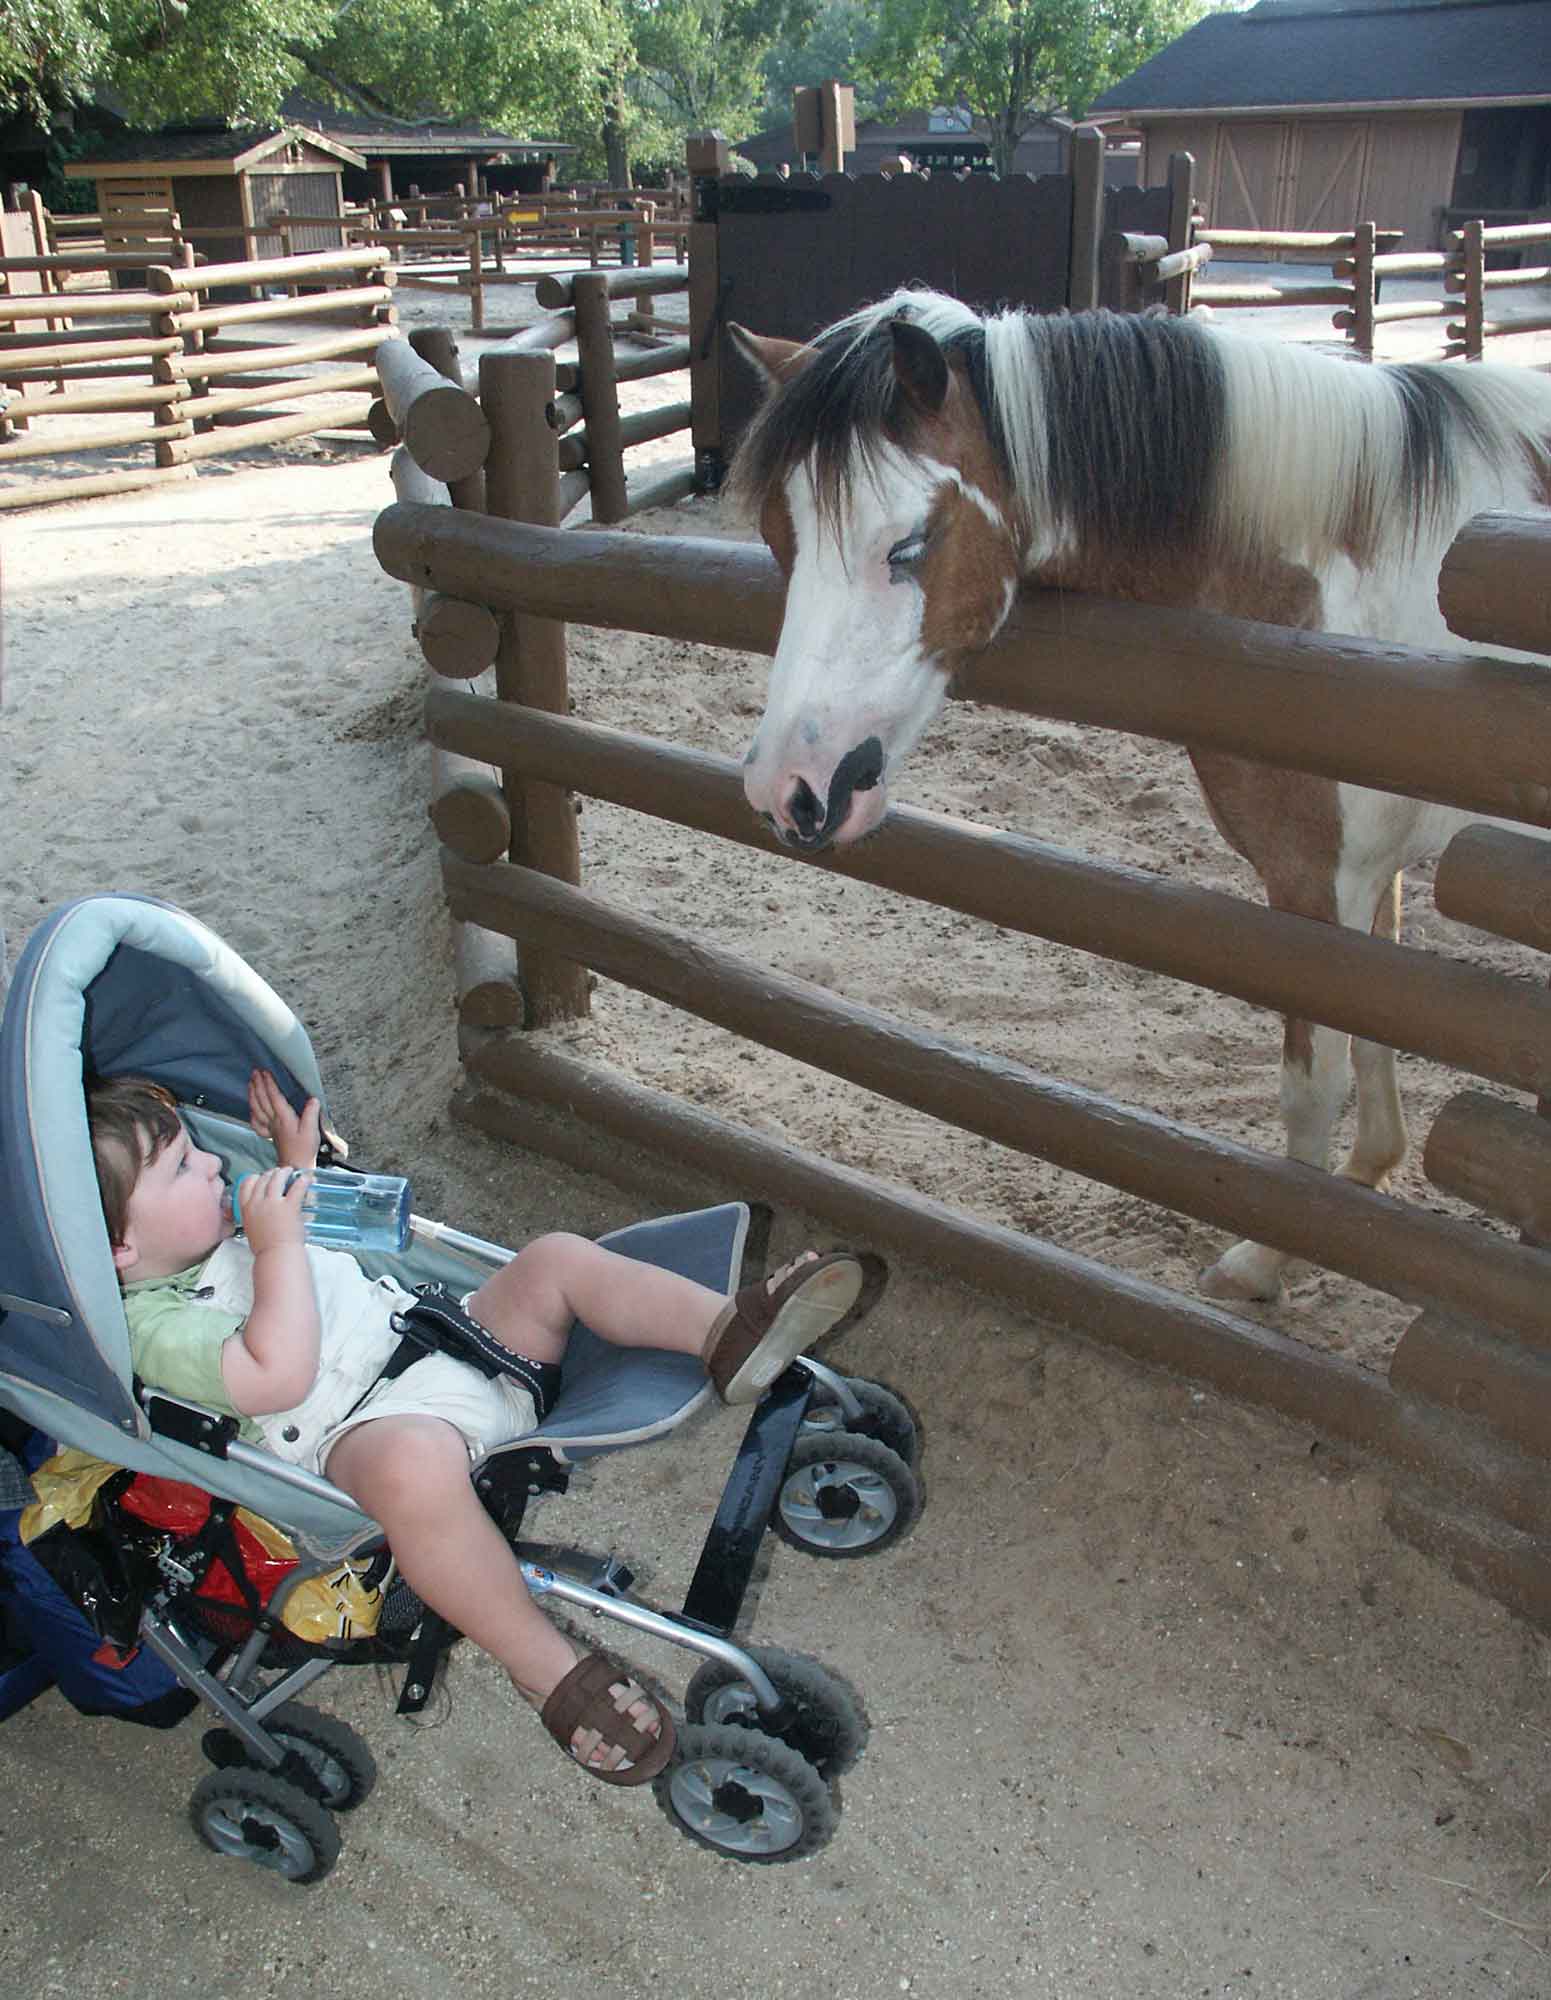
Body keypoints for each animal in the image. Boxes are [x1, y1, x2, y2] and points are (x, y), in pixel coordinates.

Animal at [731, 290, 1551, 1304]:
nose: (789, 789)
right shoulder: (1373, 870)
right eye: (779, 539)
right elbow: (1376, 1035)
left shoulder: (1318, 881)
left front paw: (1266, 1260)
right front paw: (1369, 1175)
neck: (1357, 566)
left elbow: (1310, 1081)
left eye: (909, 544)